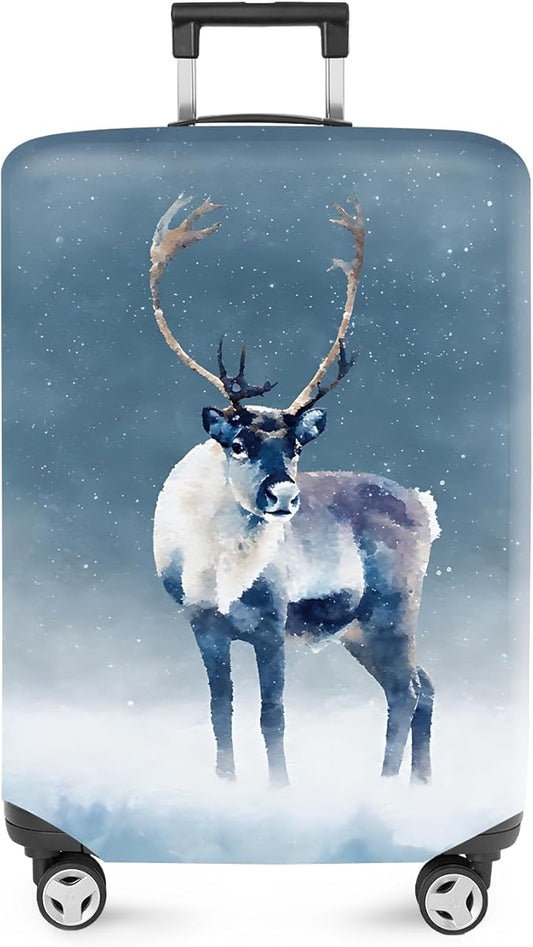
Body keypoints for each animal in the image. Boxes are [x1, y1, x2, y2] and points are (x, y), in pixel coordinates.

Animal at [150, 194, 439, 789]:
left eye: (297, 446)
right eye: (238, 443)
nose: (283, 496)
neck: (219, 568)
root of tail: (425, 504)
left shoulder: (272, 623)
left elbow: (272, 713)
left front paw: (280, 788)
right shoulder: (203, 625)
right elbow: (220, 710)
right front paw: (225, 783)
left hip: (393, 610)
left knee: (407, 690)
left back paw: (385, 786)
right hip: (359, 630)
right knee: (424, 686)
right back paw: (419, 786)